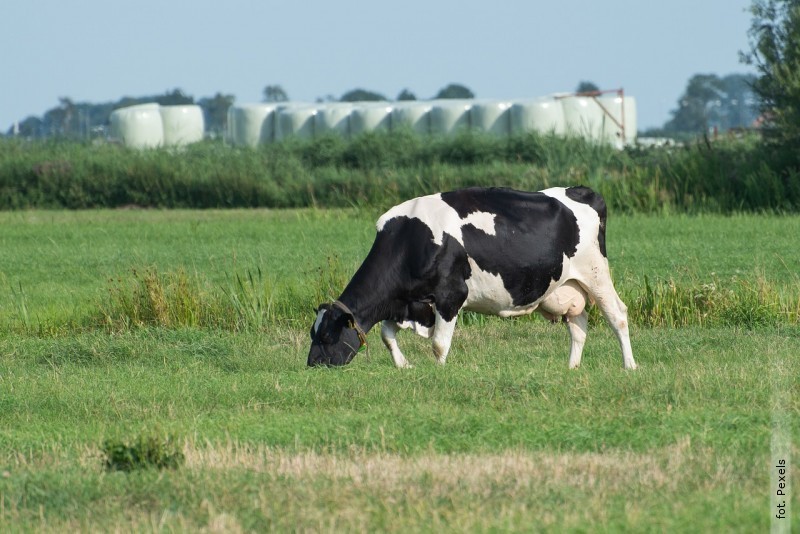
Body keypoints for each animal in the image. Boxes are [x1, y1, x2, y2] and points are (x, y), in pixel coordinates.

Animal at [308, 188, 636, 372]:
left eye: (326, 336)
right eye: (313, 334)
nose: (312, 365)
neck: (409, 240)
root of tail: (581, 190)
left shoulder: (450, 295)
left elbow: (439, 344)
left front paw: (438, 373)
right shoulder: (409, 302)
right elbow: (387, 335)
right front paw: (404, 365)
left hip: (595, 274)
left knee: (617, 316)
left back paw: (629, 366)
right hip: (568, 286)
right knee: (579, 325)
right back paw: (571, 368)